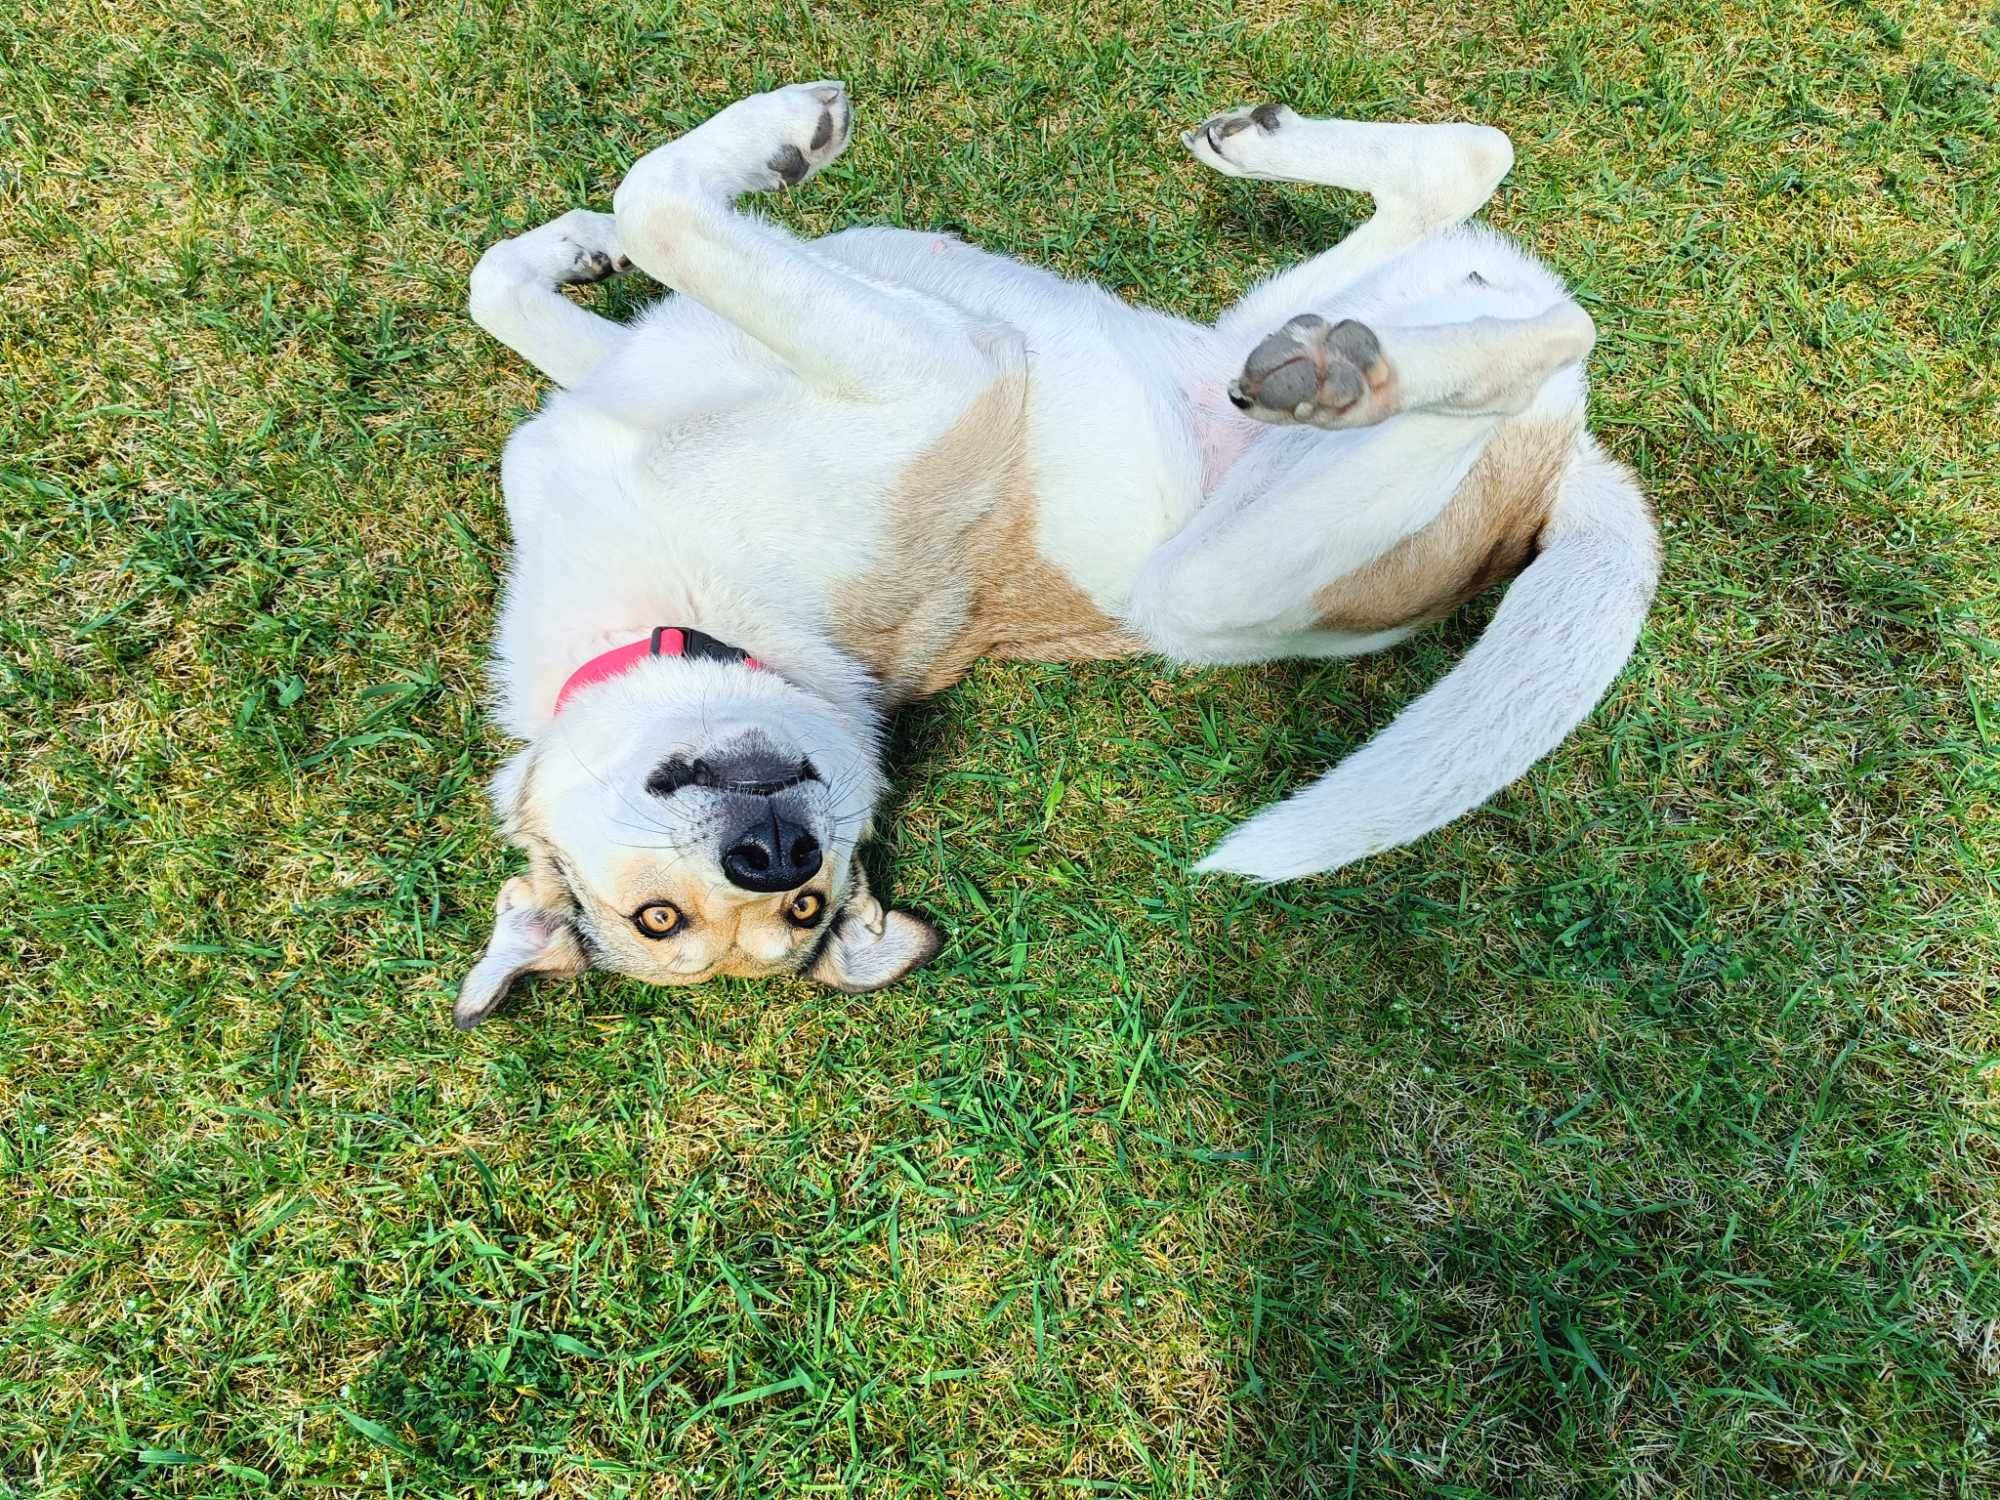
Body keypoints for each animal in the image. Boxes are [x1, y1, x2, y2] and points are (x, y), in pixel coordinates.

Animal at [454, 85, 1656, 1032]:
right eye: (664, 919)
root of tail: (1560, 485)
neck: (691, 620)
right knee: (1540, 302)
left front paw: (628, 216)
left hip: (1241, 345)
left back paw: (1259, 153)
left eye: (798, 903)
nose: (779, 856)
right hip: (1211, 570)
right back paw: (1354, 365)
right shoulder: (942, 367)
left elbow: (568, 247)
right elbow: (642, 215)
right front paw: (744, 154)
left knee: (1481, 184)